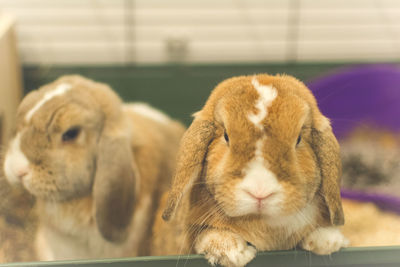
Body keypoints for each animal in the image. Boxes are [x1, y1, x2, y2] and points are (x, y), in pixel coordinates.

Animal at [152, 74, 348, 267]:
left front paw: (328, 241)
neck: (263, 224)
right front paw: (235, 253)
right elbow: (207, 234)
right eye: (226, 136)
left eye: (299, 139)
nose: (260, 192)